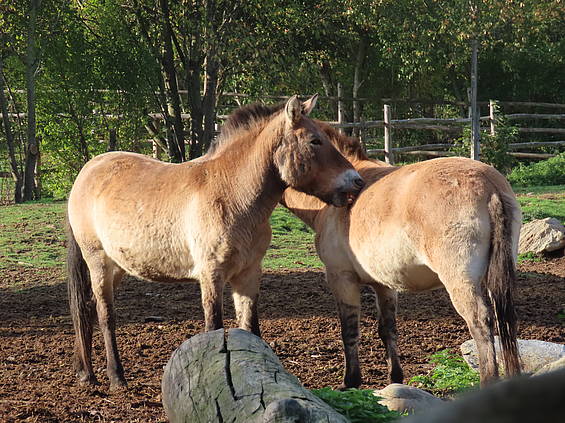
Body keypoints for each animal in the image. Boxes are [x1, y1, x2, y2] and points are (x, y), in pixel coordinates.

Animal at [67, 95, 366, 388]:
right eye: (315, 140)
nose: (356, 181)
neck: (232, 195)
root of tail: (86, 171)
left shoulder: (248, 274)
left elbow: (250, 328)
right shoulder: (211, 275)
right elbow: (214, 327)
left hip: (117, 266)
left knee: (88, 309)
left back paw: (86, 373)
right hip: (98, 262)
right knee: (105, 315)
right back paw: (116, 377)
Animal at [280, 121, 520, 388]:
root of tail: (489, 185)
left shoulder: (341, 278)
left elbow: (349, 329)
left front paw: (351, 380)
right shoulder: (384, 284)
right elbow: (388, 330)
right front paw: (395, 378)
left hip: (461, 281)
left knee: (480, 321)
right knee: (503, 319)